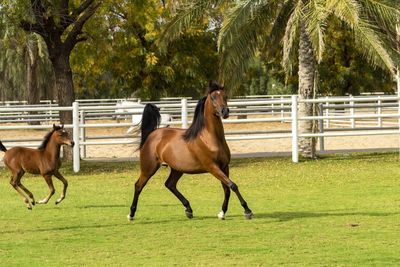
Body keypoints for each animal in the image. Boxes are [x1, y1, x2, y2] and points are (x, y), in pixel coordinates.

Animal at [128, 82, 253, 222]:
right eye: (213, 97)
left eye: (225, 96)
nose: (224, 112)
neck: (209, 139)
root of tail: (152, 135)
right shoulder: (212, 167)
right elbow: (233, 185)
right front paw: (247, 211)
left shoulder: (224, 166)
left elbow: (227, 188)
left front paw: (222, 213)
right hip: (148, 168)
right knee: (138, 185)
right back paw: (131, 214)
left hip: (177, 169)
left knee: (170, 184)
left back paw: (189, 210)